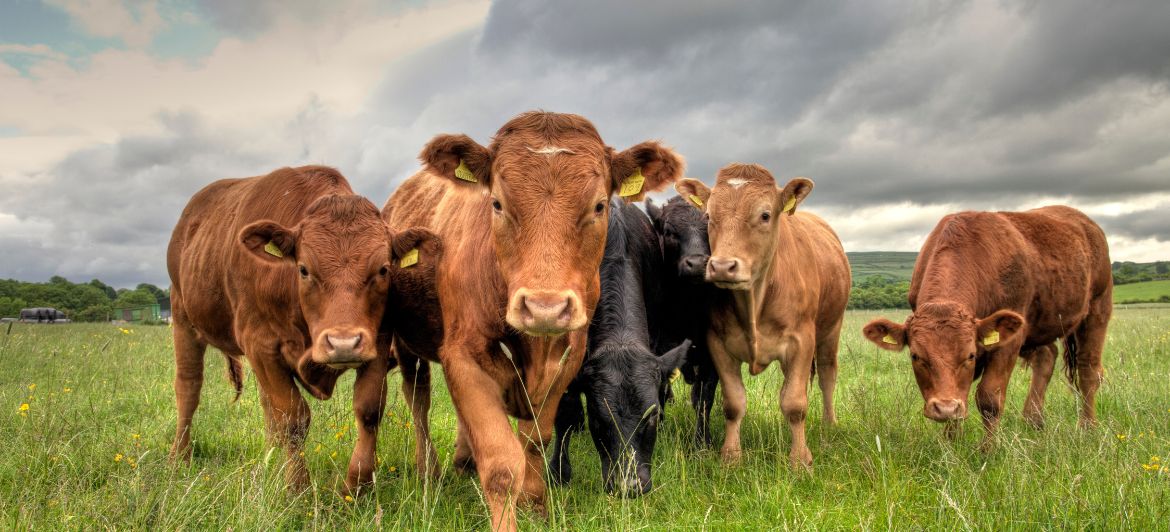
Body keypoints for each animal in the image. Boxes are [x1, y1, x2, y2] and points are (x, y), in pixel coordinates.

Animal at [167, 165, 437, 494]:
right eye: (304, 269)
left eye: (383, 269)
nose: (343, 343)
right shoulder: (261, 344)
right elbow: (292, 420)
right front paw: (298, 487)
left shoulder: (378, 340)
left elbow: (368, 410)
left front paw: (356, 487)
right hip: (182, 317)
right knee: (188, 388)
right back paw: (179, 456)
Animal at [676, 164, 850, 469]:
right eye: (708, 215)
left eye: (765, 215)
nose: (723, 266)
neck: (755, 301)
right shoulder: (718, 343)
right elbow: (734, 403)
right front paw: (731, 456)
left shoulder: (802, 341)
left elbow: (795, 403)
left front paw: (800, 460)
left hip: (831, 329)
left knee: (827, 375)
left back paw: (829, 424)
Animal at [861, 206, 1112, 447]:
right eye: (916, 356)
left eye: (970, 355)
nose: (945, 407)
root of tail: (1085, 221)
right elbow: (960, 396)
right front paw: (951, 445)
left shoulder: (1008, 342)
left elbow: (989, 398)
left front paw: (988, 450)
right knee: (1047, 356)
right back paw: (1033, 421)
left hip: (1098, 308)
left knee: (1088, 371)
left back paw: (1087, 428)